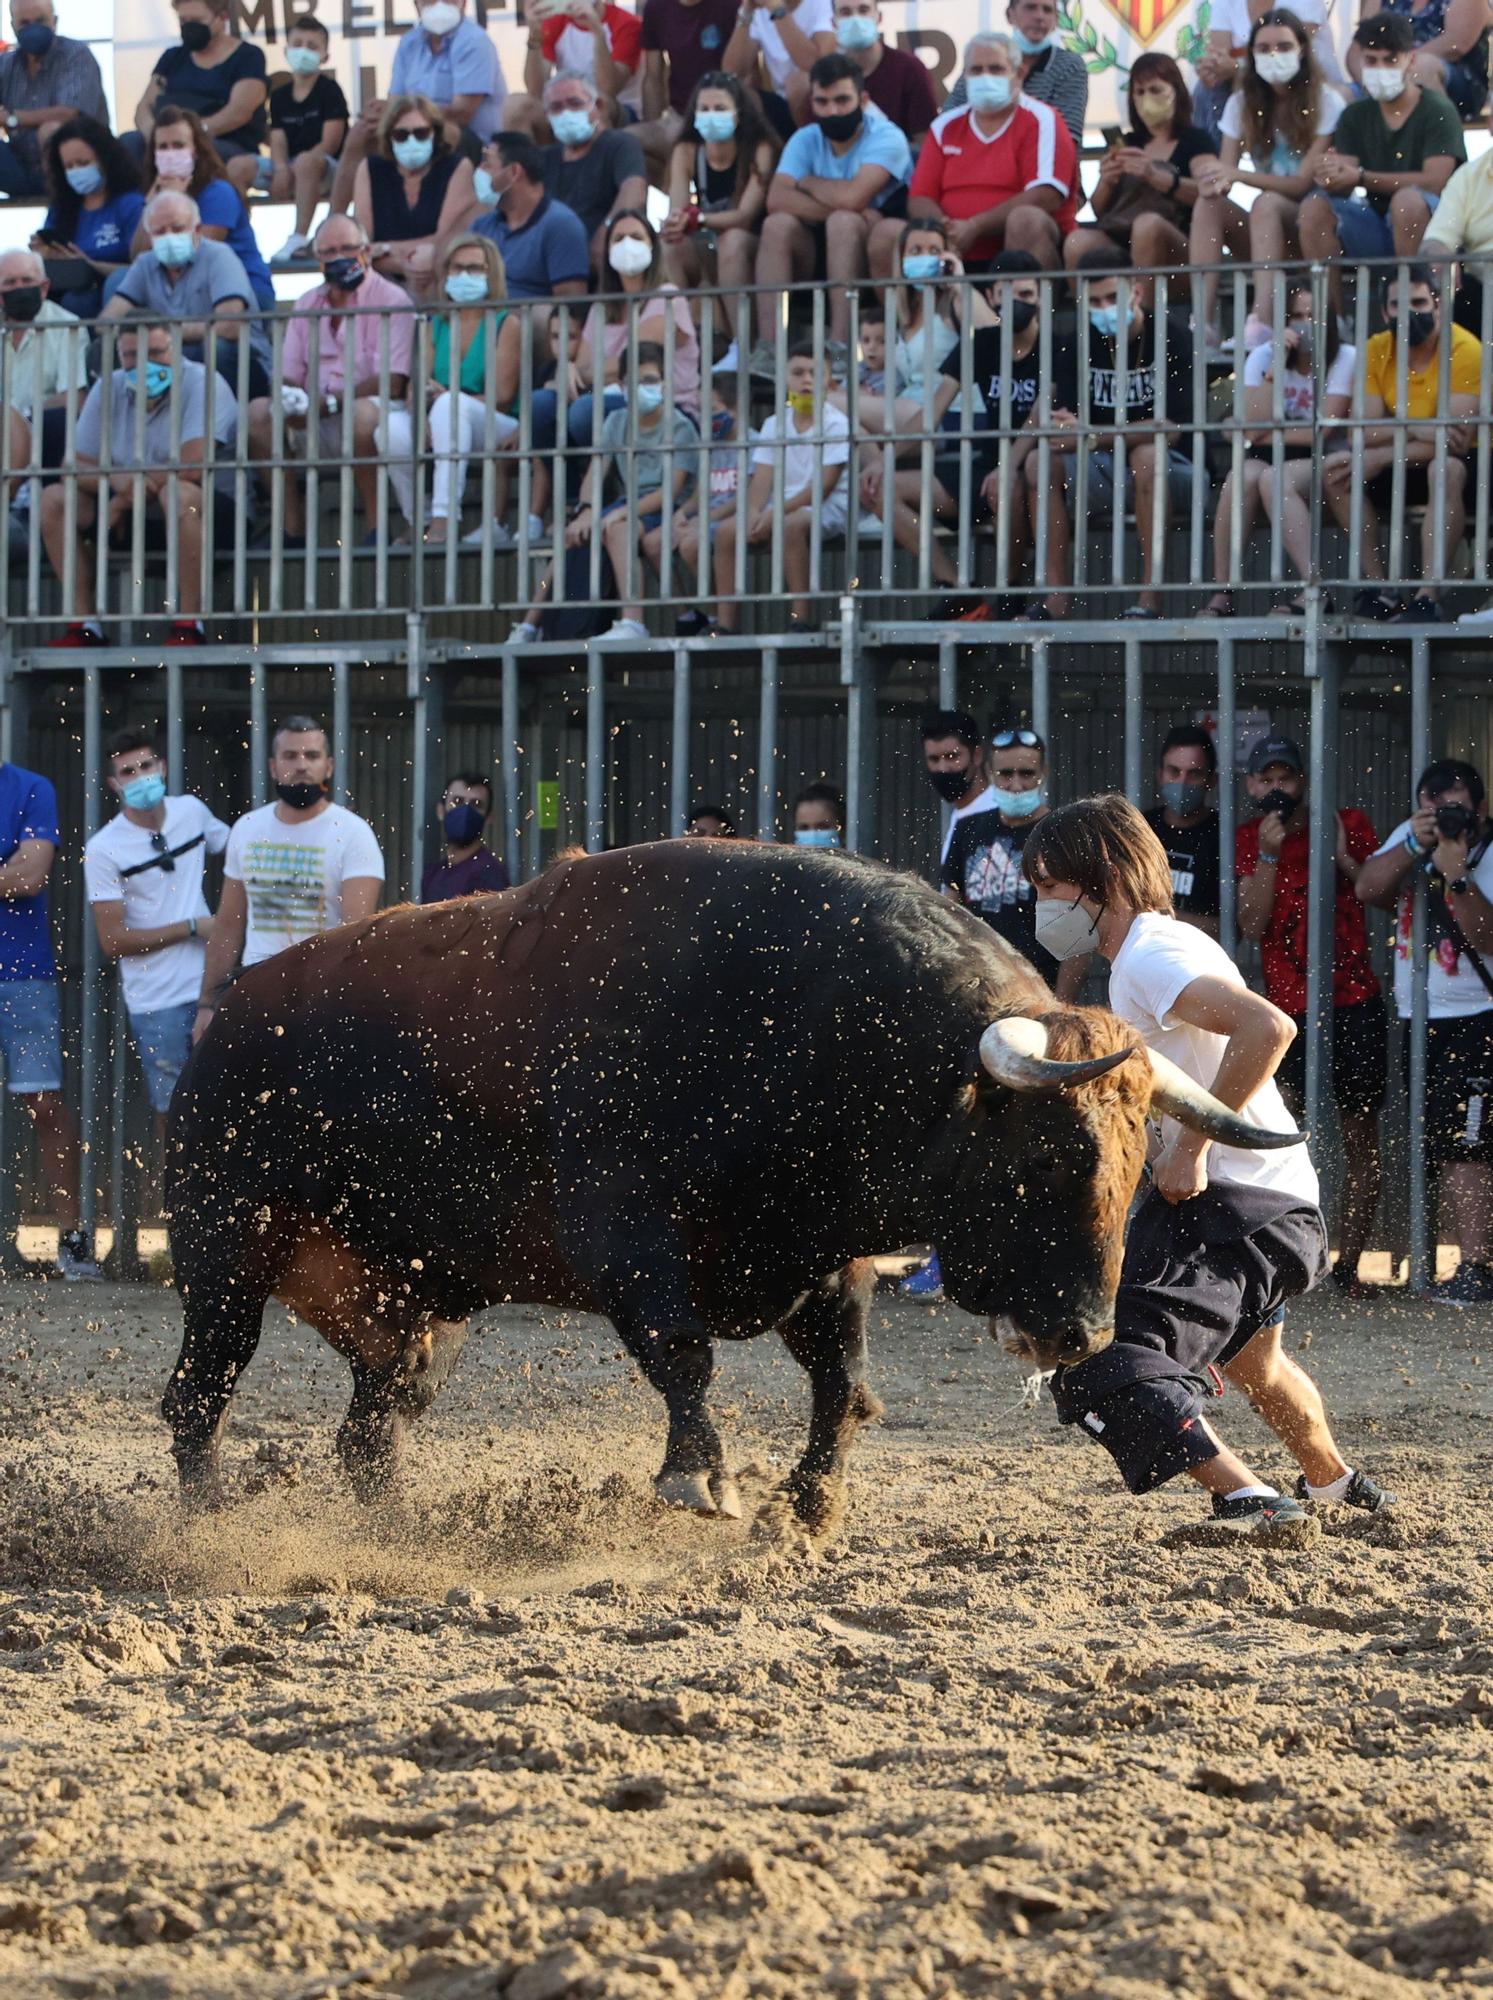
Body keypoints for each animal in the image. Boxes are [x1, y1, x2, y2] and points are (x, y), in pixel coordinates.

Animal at [163, 844, 1288, 1528]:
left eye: (1139, 1164)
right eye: (1044, 1157)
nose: (1078, 1333)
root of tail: (234, 1017)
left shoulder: (823, 1252)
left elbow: (841, 1380)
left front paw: (810, 1503)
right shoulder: (624, 1236)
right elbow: (682, 1353)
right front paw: (696, 1474)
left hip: (414, 1312)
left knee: (371, 1427)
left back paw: (392, 1524)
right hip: (224, 1255)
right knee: (198, 1393)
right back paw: (203, 1514)